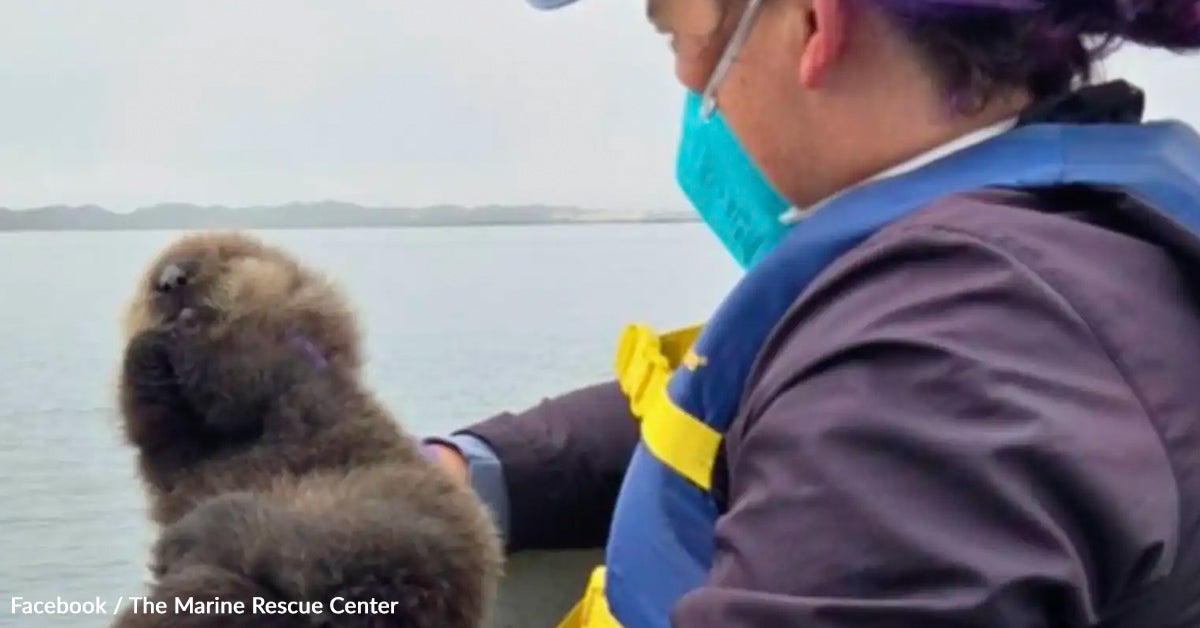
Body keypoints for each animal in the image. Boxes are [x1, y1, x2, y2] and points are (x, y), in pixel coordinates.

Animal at [112, 231, 504, 628]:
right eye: (150, 278)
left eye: (226, 255)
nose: (171, 279)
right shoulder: (179, 459)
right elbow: (157, 435)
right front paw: (147, 346)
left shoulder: (289, 344)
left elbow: (238, 376)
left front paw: (190, 327)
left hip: (388, 516)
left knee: (300, 551)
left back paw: (192, 536)